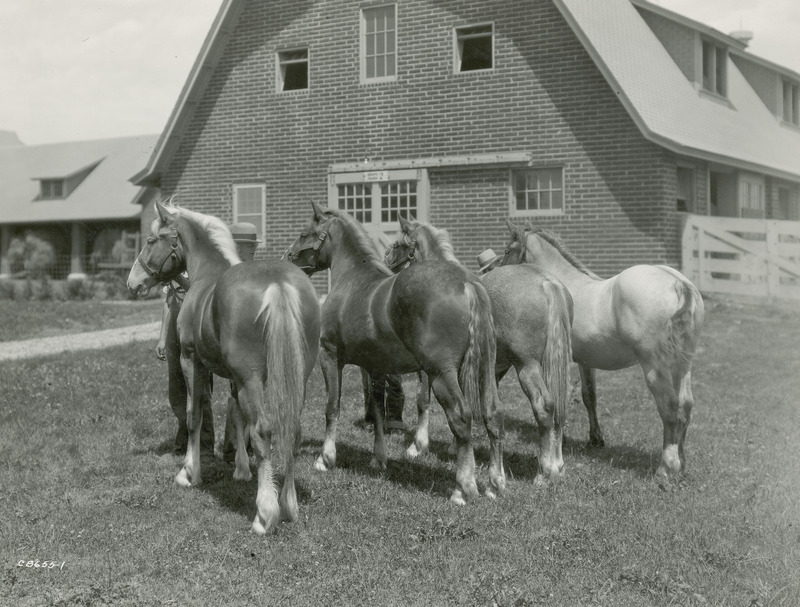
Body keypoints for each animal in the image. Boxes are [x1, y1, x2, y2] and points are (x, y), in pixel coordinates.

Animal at [126, 202, 320, 536]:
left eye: (151, 240)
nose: (133, 281)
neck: (206, 274)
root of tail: (277, 283)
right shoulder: (233, 378)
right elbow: (237, 415)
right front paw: (241, 470)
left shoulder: (192, 361)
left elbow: (194, 415)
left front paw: (189, 472)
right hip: (297, 375)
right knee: (292, 430)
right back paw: (288, 505)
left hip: (249, 377)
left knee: (263, 430)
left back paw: (265, 514)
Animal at [284, 203, 504, 504]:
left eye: (304, 233)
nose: (288, 258)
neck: (352, 278)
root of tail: (466, 283)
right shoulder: (375, 366)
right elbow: (378, 409)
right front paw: (379, 458)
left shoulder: (329, 357)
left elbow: (332, 407)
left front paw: (325, 458)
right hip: (484, 369)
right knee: (492, 413)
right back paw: (495, 483)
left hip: (441, 373)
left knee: (461, 418)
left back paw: (463, 488)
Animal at [382, 216, 576, 482]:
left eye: (398, 243)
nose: (385, 260)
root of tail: (549, 282)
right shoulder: (488, 369)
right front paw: (456, 446)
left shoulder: (429, 368)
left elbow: (423, 400)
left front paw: (418, 446)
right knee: (559, 404)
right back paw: (557, 464)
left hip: (527, 366)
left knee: (544, 405)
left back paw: (544, 471)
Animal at [504, 220, 704, 480]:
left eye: (507, 250)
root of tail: (679, 284)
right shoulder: (586, 362)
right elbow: (589, 397)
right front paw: (595, 439)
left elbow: (562, 396)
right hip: (682, 366)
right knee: (685, 405)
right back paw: (681, 463)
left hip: (656, 369)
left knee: (670, 408)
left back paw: (666, 468)